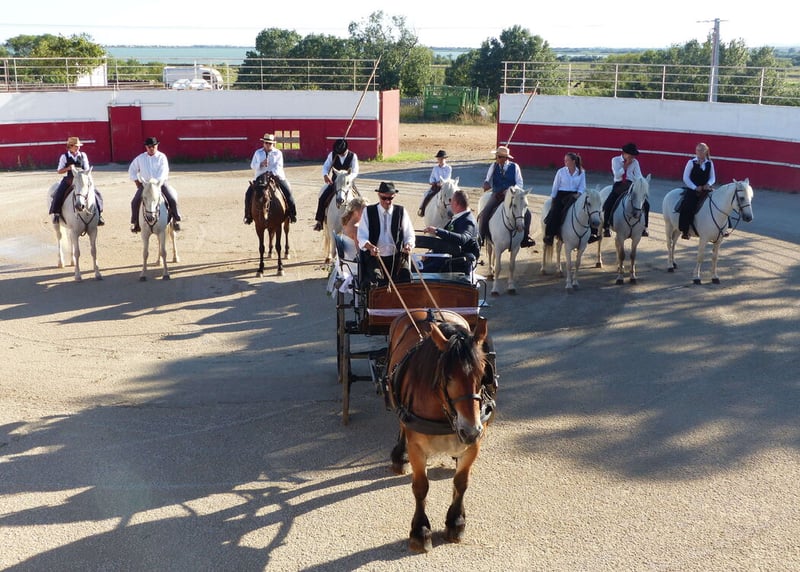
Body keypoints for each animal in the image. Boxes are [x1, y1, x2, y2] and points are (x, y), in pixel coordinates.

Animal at [387, 309, 493, 553]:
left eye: (483, 373)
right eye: (448, 376)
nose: (470, 430)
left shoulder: (473, 445)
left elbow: (461, 482)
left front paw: (456, 522)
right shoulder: (417, 448)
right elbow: (420, 487)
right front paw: (420, 530)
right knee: (400, 424)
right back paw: (400, 455)